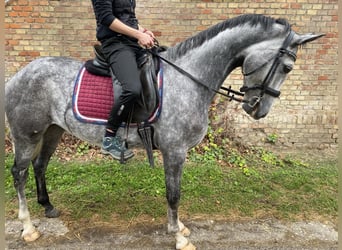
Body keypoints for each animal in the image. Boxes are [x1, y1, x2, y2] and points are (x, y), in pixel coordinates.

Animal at [5, 14, 324, 249]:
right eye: (287, 66)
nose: (259, 110)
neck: (188, 77)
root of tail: (17, 76)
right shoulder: (175, 150)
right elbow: (174, 194)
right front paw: (179, 236)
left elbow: (175, 193)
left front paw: (179, 227)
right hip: (26, 135)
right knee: (19, 173)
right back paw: (28, 227)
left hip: (52, 130)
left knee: (40, 165)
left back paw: (47, 207)